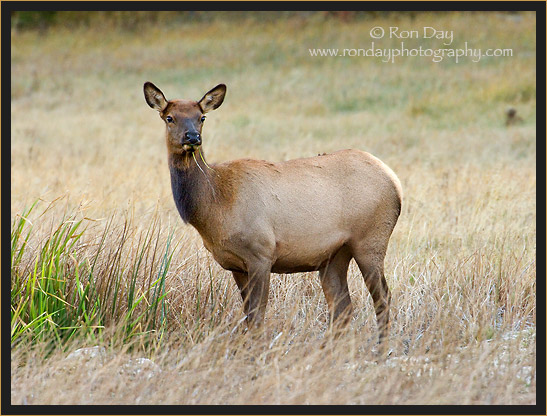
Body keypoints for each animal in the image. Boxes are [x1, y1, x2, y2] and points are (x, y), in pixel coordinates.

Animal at [144, 82, 402, 344]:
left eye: (202, 117)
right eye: (169, 117)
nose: (193, 137)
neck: (215, 205)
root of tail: (394, 180)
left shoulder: (261, 253)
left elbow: (257, 317)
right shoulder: (236, 265)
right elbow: (248, 317)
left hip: (371, 240)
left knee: (382, 298)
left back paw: (381, 348)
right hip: (334, 255)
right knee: (342, 307)